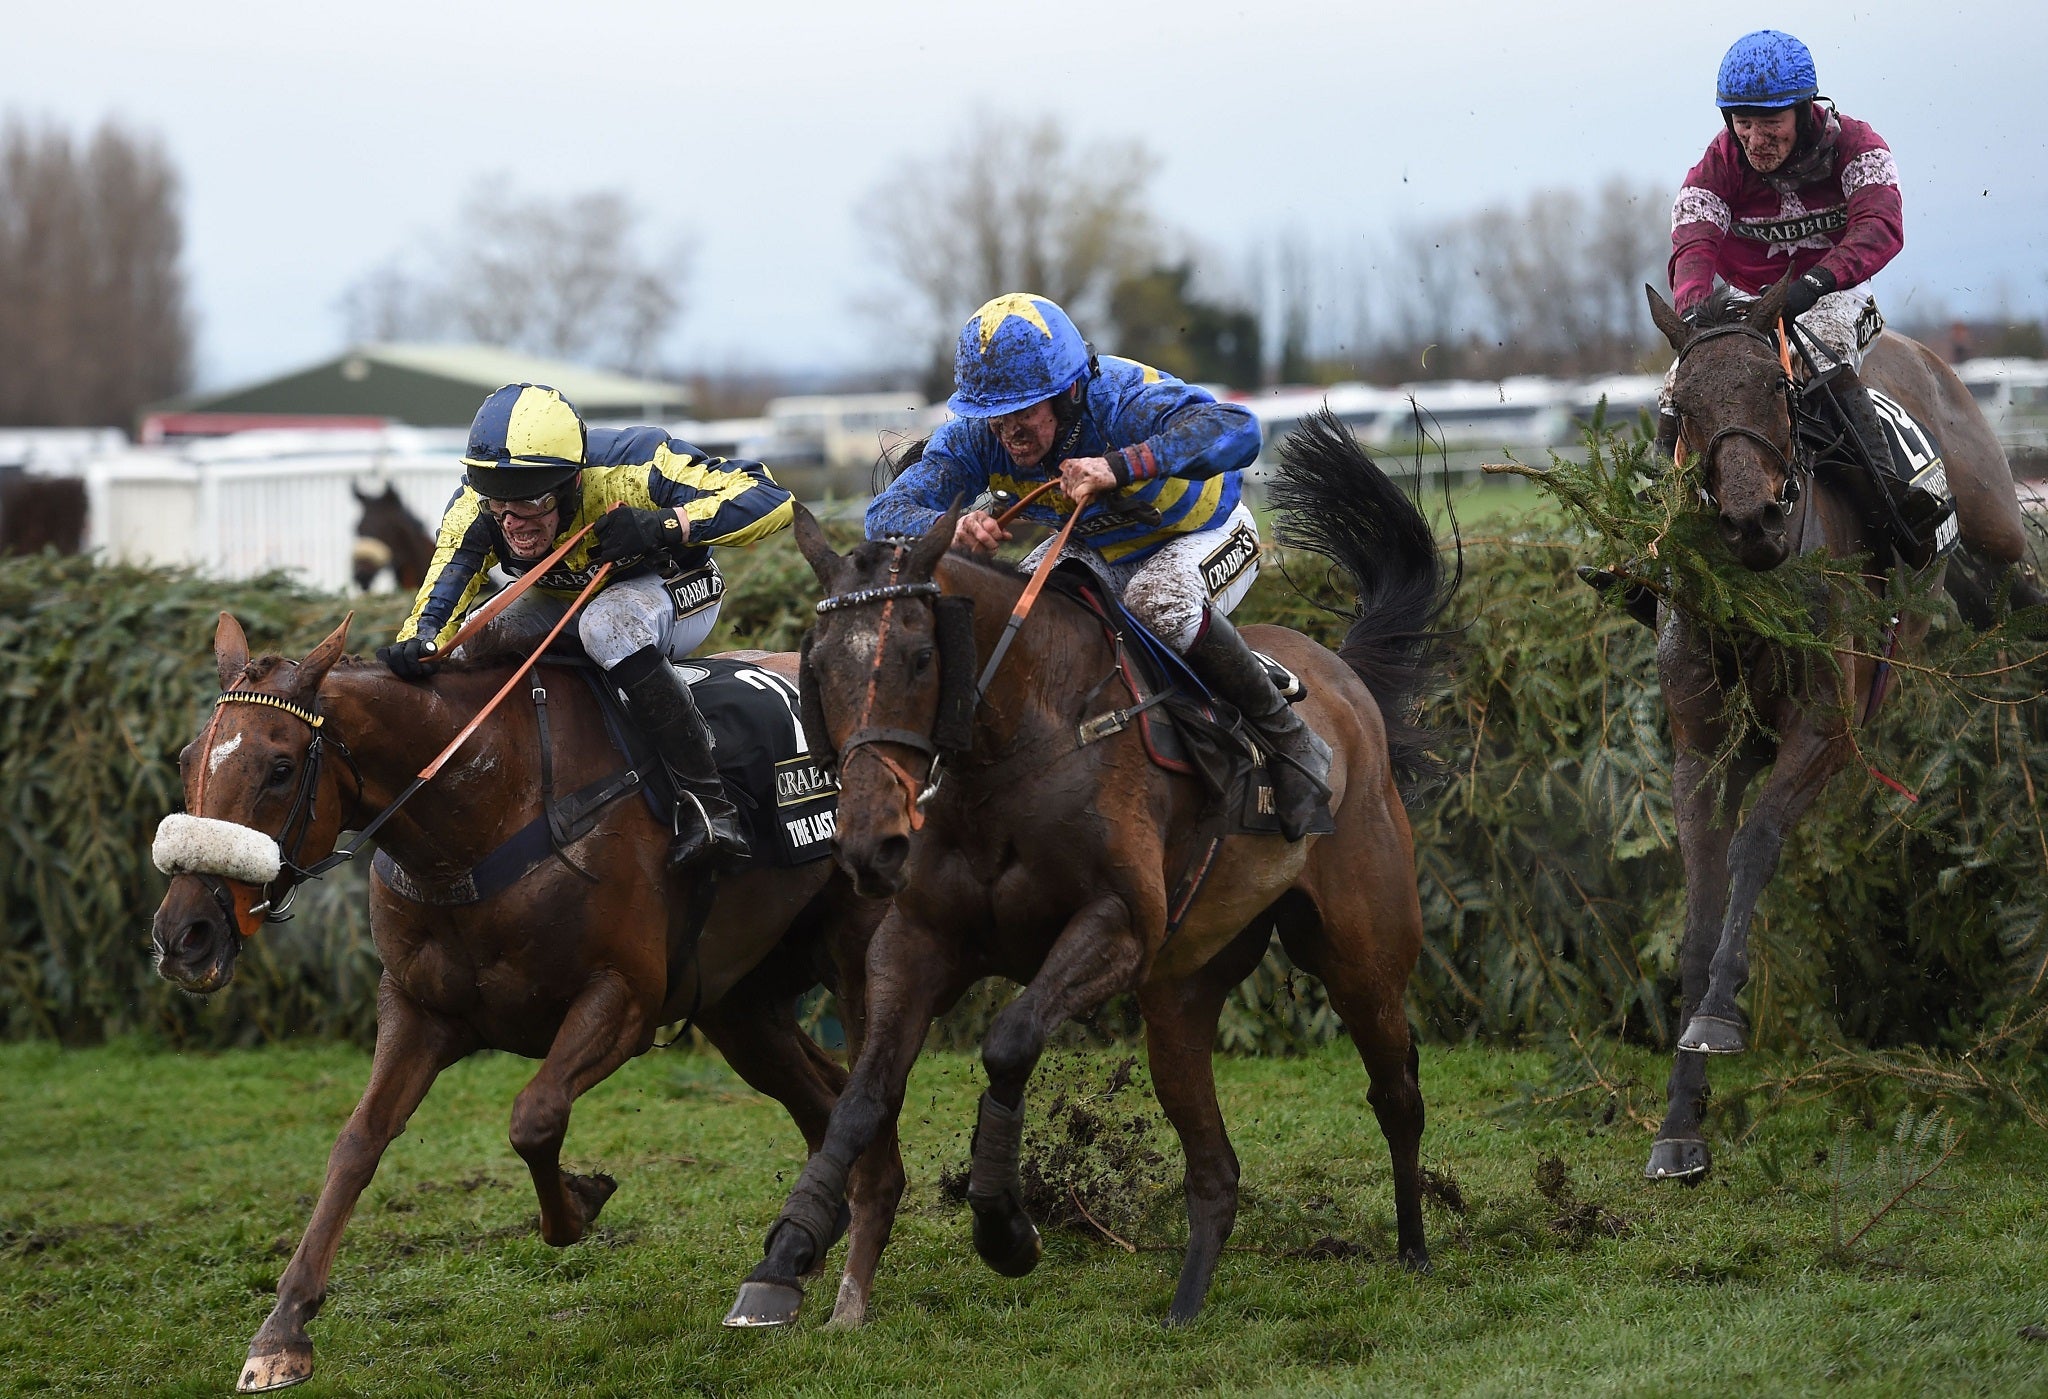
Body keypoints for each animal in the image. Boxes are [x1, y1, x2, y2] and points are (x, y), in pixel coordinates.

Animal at [148, 622, 901, 1392]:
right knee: (822, 1100)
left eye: (278, 767)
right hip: (736, 1001)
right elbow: (358, 1141)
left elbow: (534, 1118)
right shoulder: (415, 1009)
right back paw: (793, 1260)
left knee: (866, 1098)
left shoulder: (623, 997)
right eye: (186, 757)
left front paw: (580, 1199)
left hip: (859, 949)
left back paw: (845, 1286)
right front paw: (282, 1330)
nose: (184, 934)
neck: (482, 813)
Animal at [724, 409, 1458, 1327]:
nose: (869, 844)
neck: (1015, 745)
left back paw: (1416, 1250)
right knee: (1215, 1167)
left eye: (922, 659)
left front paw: (1005, 1227)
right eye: (818, 665)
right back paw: (1186, 1304)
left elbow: (1008, 1042)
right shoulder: (917, 940)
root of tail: (1345, 677)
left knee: (1397, 1092)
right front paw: (784, 1256)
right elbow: (864, 1092)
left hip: (1361, 951)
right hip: (1182, 991)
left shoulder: (1116, 927)